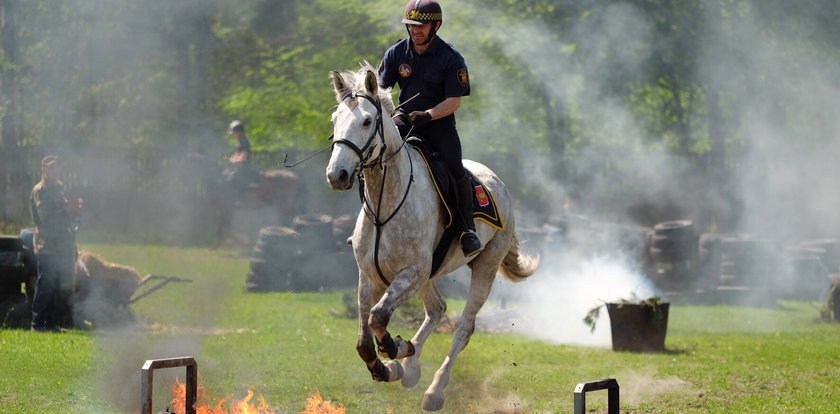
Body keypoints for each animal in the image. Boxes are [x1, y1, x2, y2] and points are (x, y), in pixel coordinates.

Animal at [324, 64, 540, 410]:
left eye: (367, 121)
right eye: (335, 120)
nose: (337, 175)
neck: (386, 205)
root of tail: (500, 184)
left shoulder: (411, 272)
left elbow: (379, 317)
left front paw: (396, 350)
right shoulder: (369, 276)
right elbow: (364, 341)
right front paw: (392, 366)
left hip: (484, 267)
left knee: (463, 328)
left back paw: (434, 390)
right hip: (429, 275)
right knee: (437, 308)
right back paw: (411, 368)